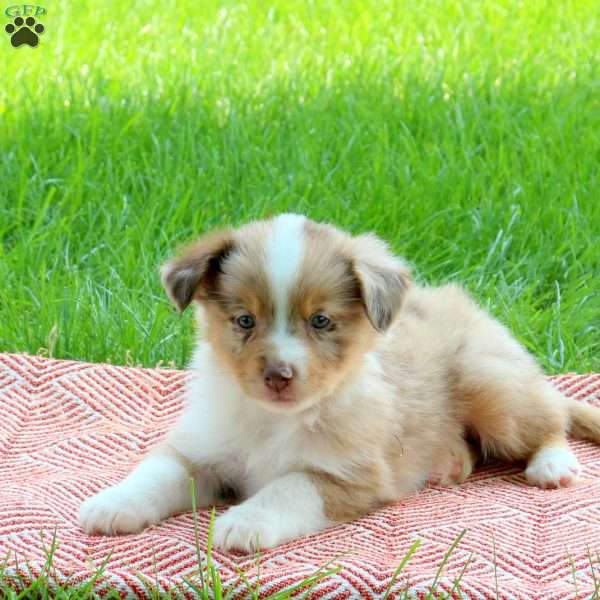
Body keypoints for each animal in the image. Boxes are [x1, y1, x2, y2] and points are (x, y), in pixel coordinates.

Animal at [78, 213, 600, 552]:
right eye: (245, 320)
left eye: (321, 321)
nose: (279, 375)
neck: (274, 421)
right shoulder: (202, 449)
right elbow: (156, 472)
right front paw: (112, 504)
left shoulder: (350, 475)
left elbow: (289, 486)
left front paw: (245, 521)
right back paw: (449, 461)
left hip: (491, 386)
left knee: (550, 417)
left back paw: (553, 465)